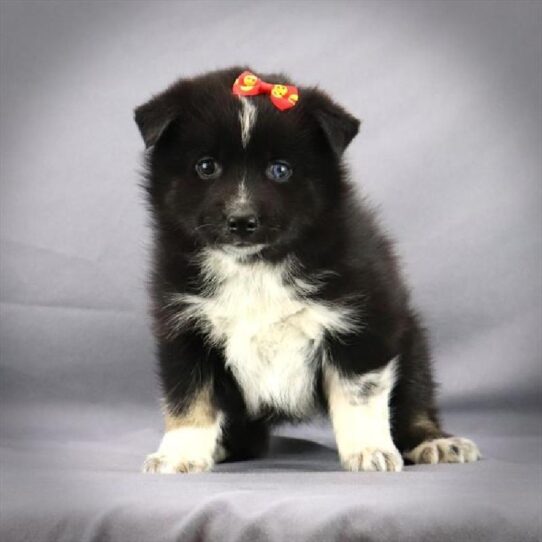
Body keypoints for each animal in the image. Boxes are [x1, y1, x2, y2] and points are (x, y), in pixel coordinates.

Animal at [135, 67, 480, 476]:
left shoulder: (361, 321)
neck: (256, 266)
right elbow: (189, 398)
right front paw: (180, 454)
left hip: (411, 342)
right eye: (206, 166)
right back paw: (223, 446)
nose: (241, 221)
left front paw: (369, 450)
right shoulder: (184, 328)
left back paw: (435, 442)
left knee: (414, 400)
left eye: (280, 170)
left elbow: (358, 394)